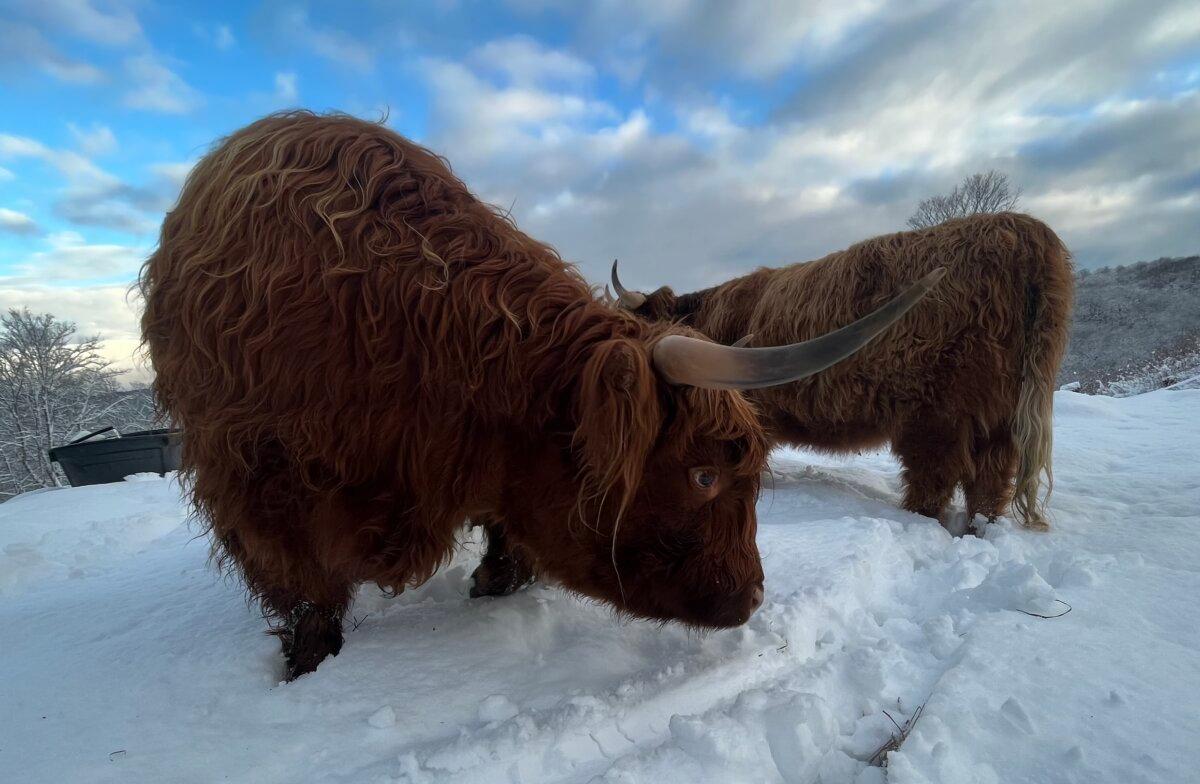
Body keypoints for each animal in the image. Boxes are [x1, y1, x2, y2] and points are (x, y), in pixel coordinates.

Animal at [139, 111, 939, 679]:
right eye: (704, 475)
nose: (753, 597)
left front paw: (498, 578)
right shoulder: (260, 480)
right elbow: (304, 589)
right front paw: (308, 662)